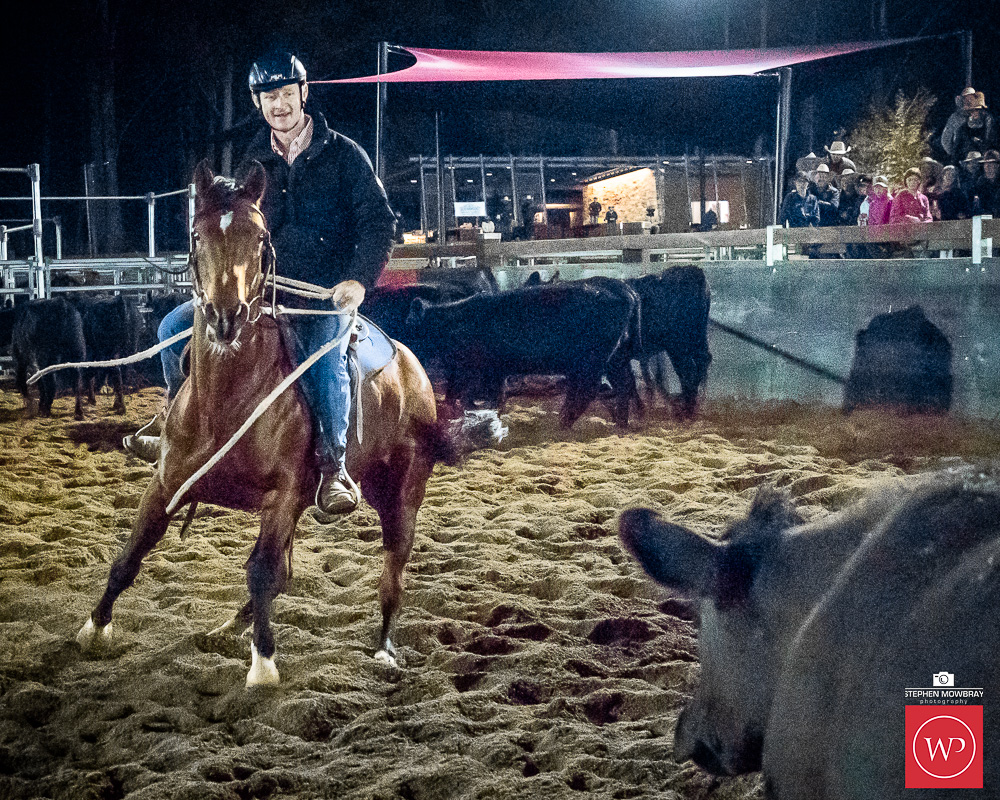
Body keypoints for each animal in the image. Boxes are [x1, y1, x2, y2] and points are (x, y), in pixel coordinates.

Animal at [77, 161, 455, 686]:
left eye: (259, 237)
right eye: (197, 235)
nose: (226, 316)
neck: (226, 402)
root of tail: (409, 365)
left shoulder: (283, 494)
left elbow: (260, 572)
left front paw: (263, 664)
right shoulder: (167, 482)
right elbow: (129, 555)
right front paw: (94, 628)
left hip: (401, 490)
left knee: (391, 570)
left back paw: (382, 648)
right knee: (287, 572)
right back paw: (225, 627)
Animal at [404, 279, 637, 428]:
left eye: (410, 327)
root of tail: (624, 289)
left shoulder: (474, 368)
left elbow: (471, 395)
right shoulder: (486, 370)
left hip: (592, 361)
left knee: (588, 390)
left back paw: (564, 421)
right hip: (615, 358)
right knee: (622, 384)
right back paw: (621, 421)